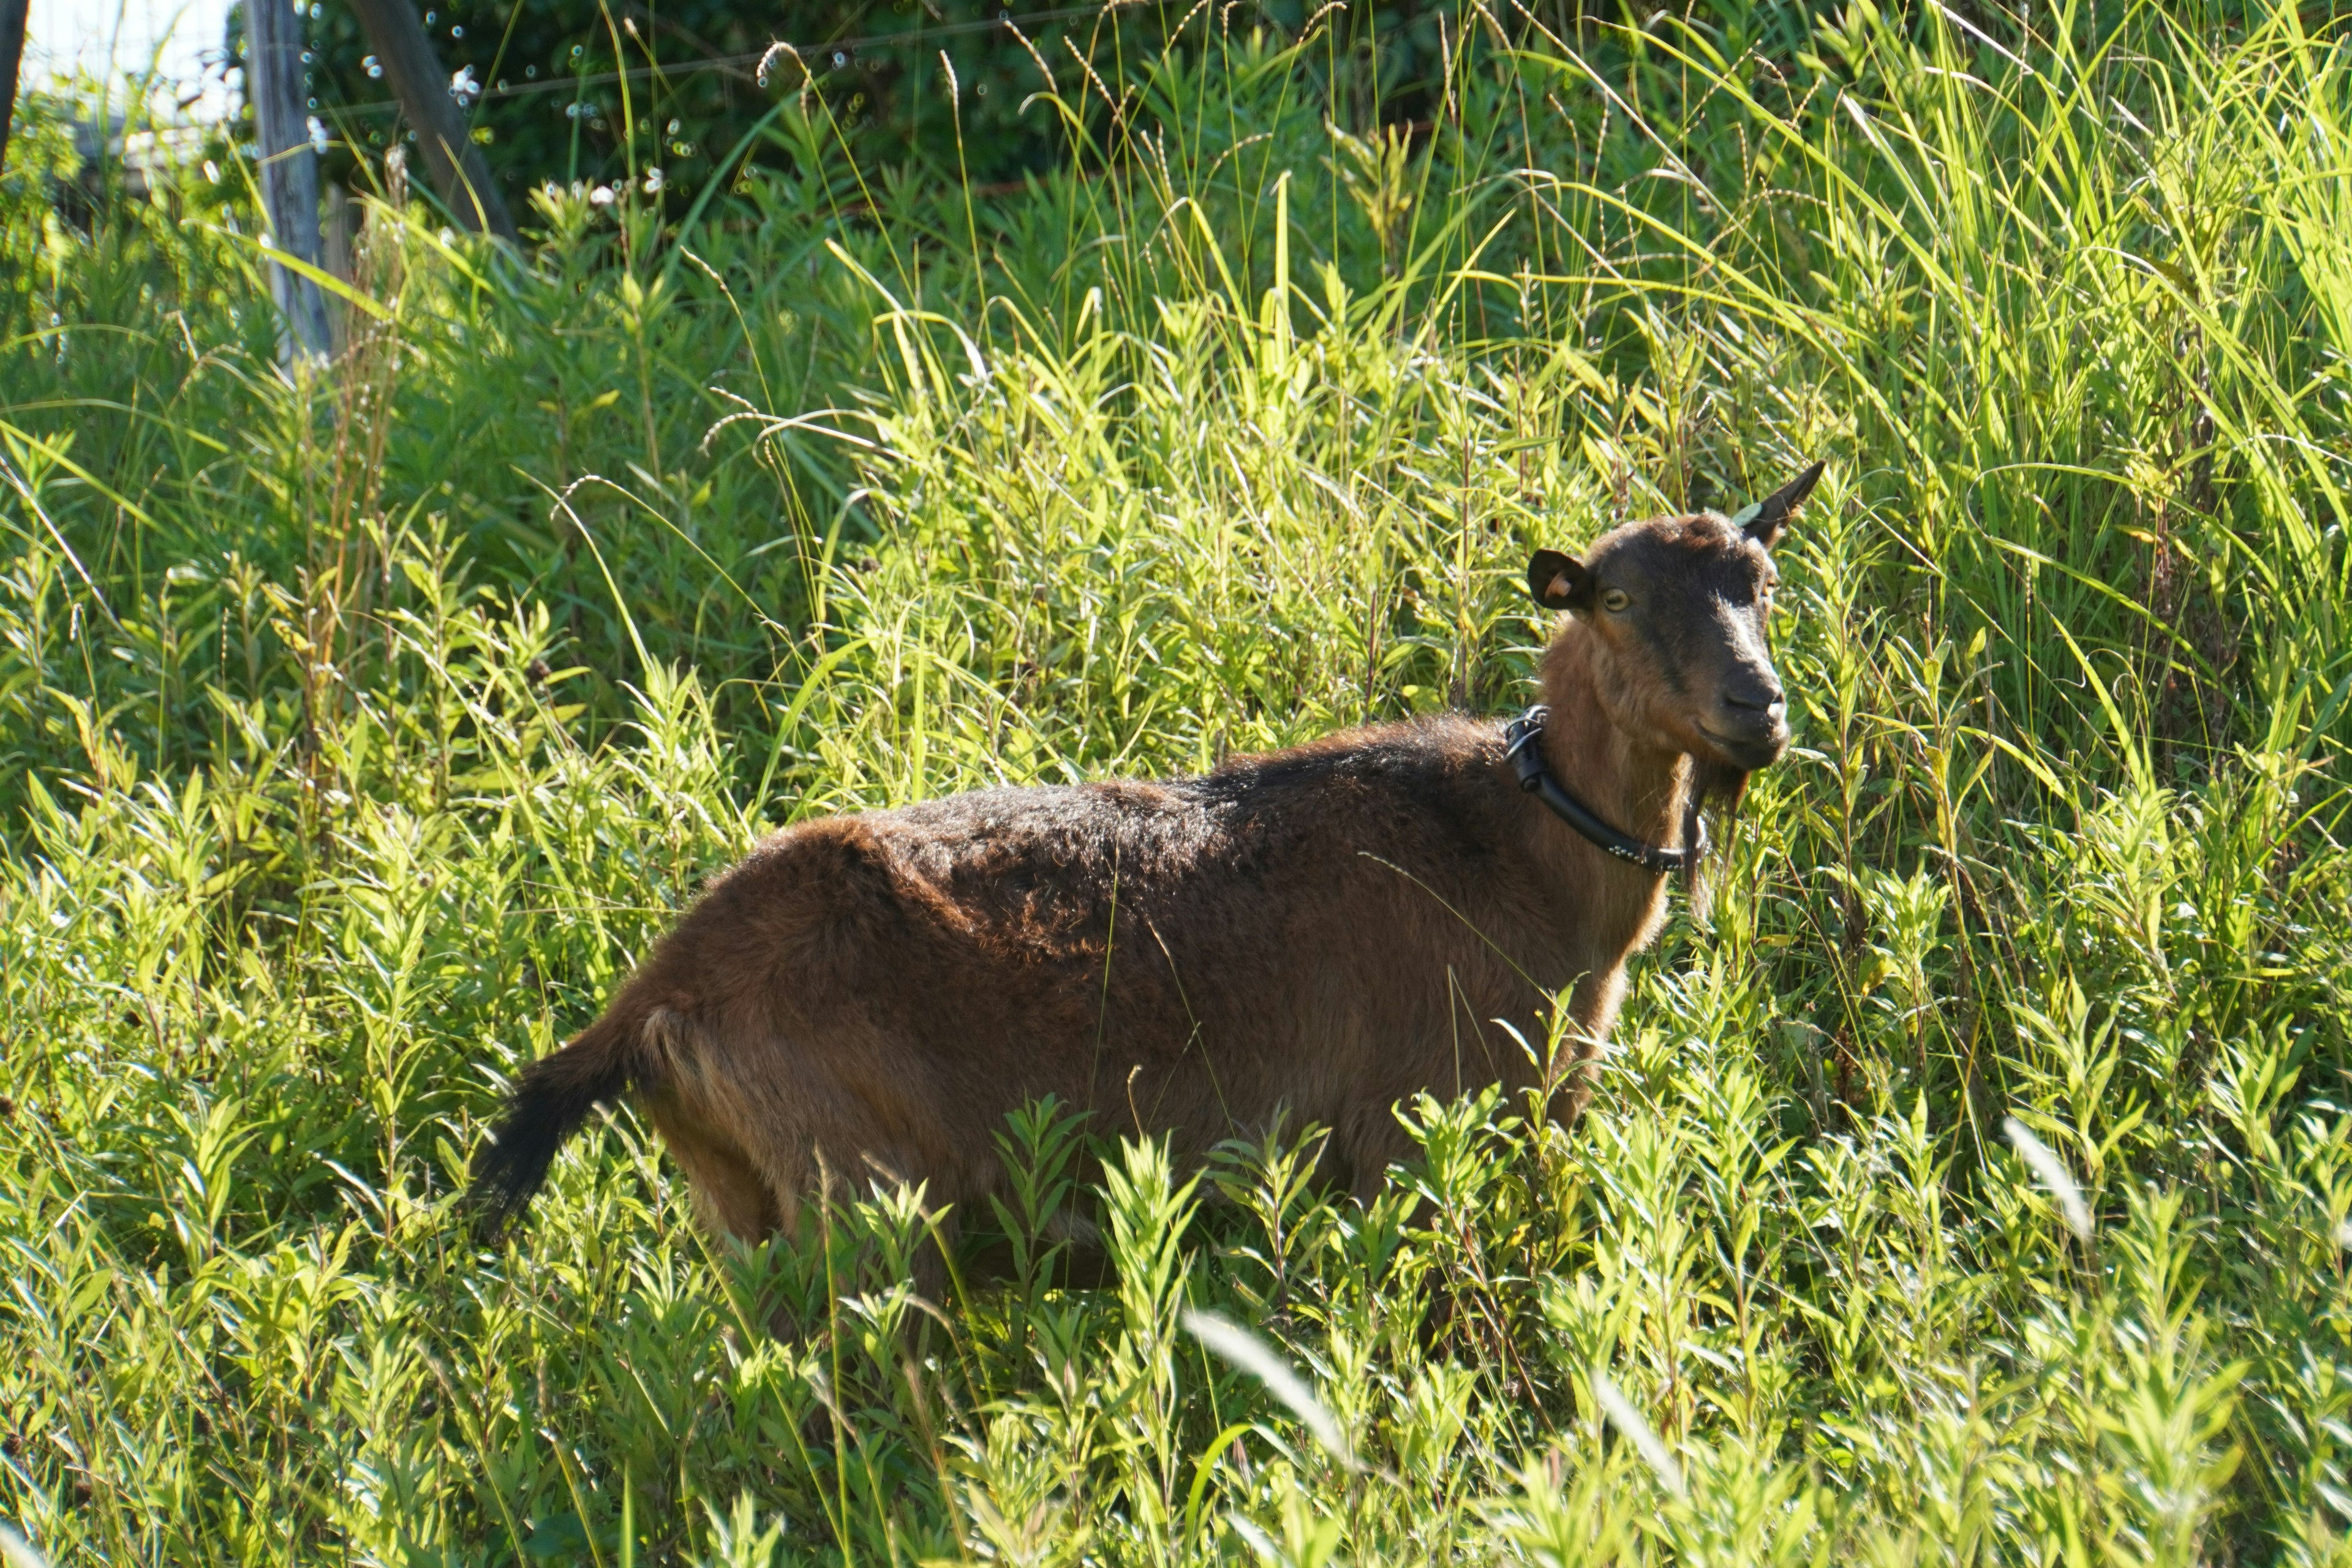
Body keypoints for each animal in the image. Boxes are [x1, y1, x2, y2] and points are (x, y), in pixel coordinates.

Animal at [468, 463, 1825, 1260]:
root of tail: (652, 998)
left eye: (1760, 582)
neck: (1520, 850)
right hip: (866, 1198)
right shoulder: (1403, 1129)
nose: (1756, 706)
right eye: (1619, 600)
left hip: (742, 1203)